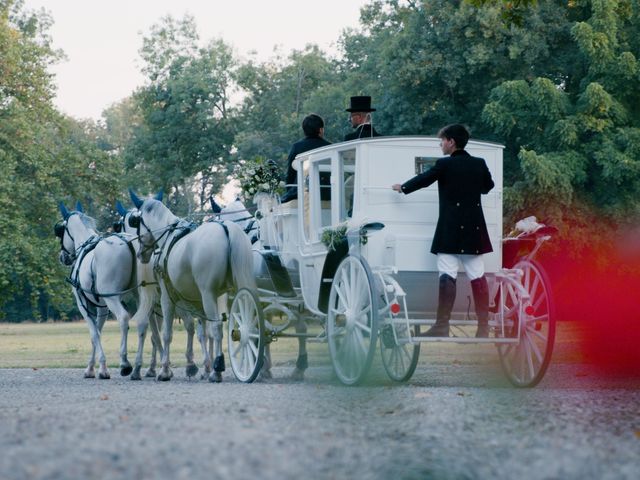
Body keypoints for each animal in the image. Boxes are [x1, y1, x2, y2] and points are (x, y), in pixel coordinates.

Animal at [55, 201, 136, 376]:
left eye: (60, 231)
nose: (63, 257)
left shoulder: (84, 304)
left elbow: (94, 334)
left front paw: (100, 369)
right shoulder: (102, 307)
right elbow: (98, 332)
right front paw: (93, 367)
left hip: (112, 299)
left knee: (123, 318)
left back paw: (125, 363)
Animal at [129, 191, 256, 382]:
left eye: (136, 223)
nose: (140, 254)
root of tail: (226, 228)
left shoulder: (168, 297)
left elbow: (167, 334)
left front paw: (165, 370)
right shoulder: (203, 299)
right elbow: (201, 332)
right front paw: (202, 366)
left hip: (208, 294)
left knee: (217, 327)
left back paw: (217, 370)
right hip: (236, 290)